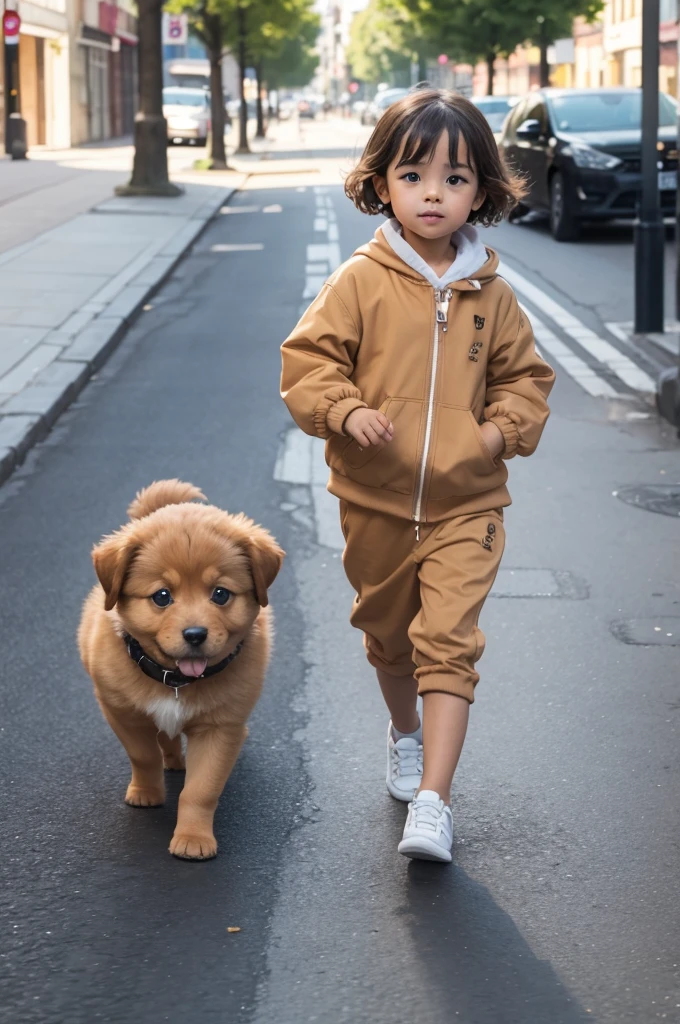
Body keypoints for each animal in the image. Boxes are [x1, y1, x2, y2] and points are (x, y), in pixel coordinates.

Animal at [78, 479, 284, 856]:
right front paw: (147, 793)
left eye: (220, 594)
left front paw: (193, 839)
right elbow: (144, 756)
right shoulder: (121, 712)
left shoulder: (220, 729)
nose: (195, 634)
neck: (175, 682)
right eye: (162, 596)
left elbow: (201, 790)